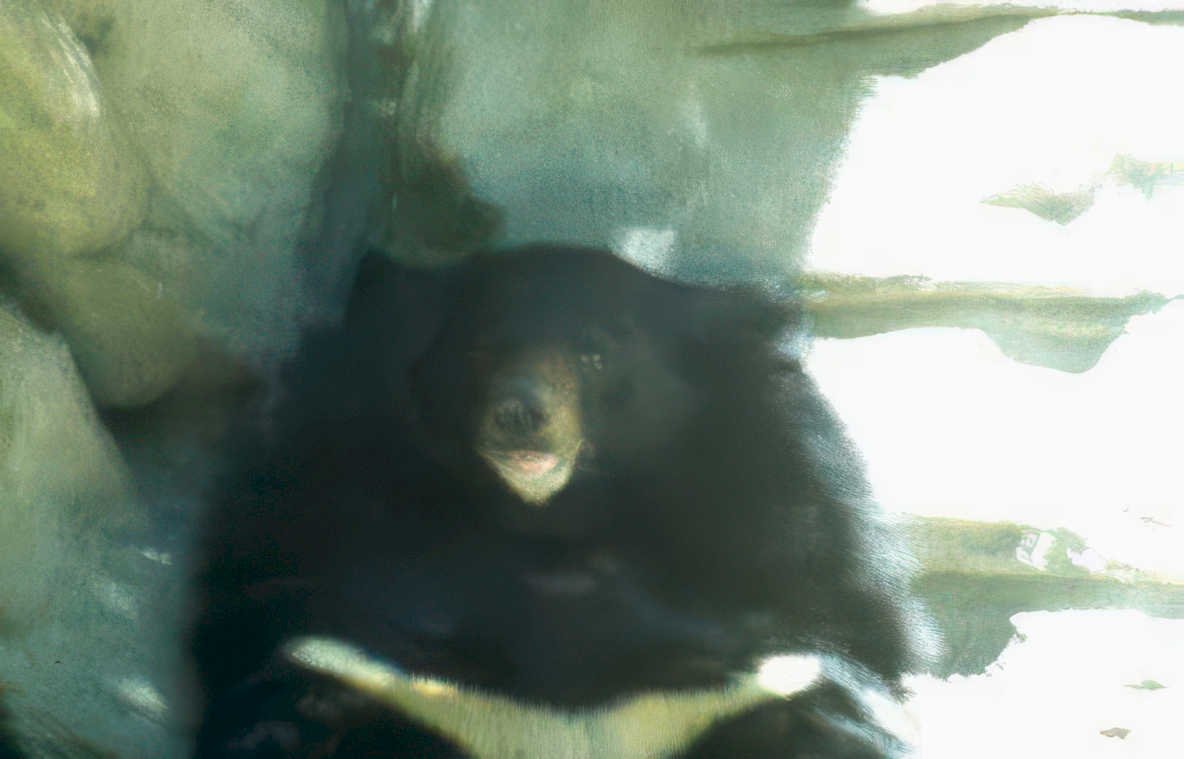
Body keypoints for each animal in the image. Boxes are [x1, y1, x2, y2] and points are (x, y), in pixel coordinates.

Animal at [190, 244, 922, 757]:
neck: (552, 523)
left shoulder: (792, 522)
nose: (521, 415)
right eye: (482, 349)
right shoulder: (321, 483)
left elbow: (855, 646)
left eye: (594, 356)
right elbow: (270, 612)